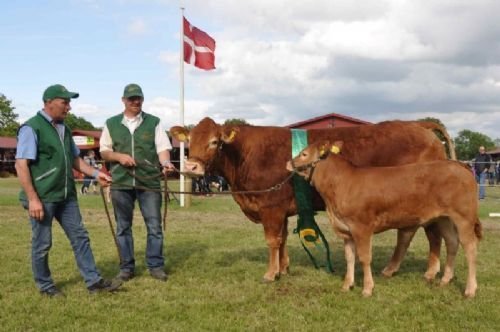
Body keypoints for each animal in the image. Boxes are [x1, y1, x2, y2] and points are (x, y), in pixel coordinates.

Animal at [171, 116, 458, 282]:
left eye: (215, 142)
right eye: (190, 141)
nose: (192, 168)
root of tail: (418, 124)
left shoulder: (270, 206)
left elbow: (272, 240)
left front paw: (270, 273)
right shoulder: (281, 209)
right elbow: (283, 239)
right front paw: (284, 268)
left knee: (427, 234)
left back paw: (428, 271)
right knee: (414, 233)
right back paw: (396, 269)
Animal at [288, 141, 482, 296]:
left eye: (304, 153)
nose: (288, 163)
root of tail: (459, 165)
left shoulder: (362, 228)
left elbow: (364, 258)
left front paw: (367, 289)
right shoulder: (346, 231)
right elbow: (349, 258)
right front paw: (346, 285)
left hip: (464, 217)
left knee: (471, 248)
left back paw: (470, 289)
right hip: (444, 218)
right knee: (452, 242)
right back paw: (445, 280)